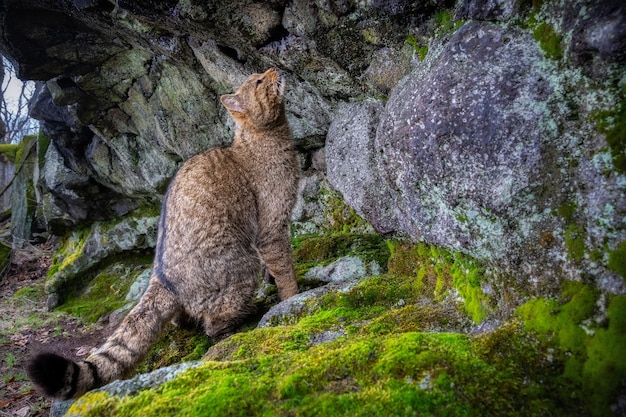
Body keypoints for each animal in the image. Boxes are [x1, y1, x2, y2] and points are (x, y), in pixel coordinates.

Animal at [28, 66, 302, 398]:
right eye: (260, 81)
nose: (273, 69)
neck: (266, 138)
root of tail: (160, 275)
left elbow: (273, 269)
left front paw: (276, 285)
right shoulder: (271, 228)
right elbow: (284, 269)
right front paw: (292, 296)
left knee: (179, 319)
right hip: (240, 264)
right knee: (213, 324)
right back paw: (242, 318)